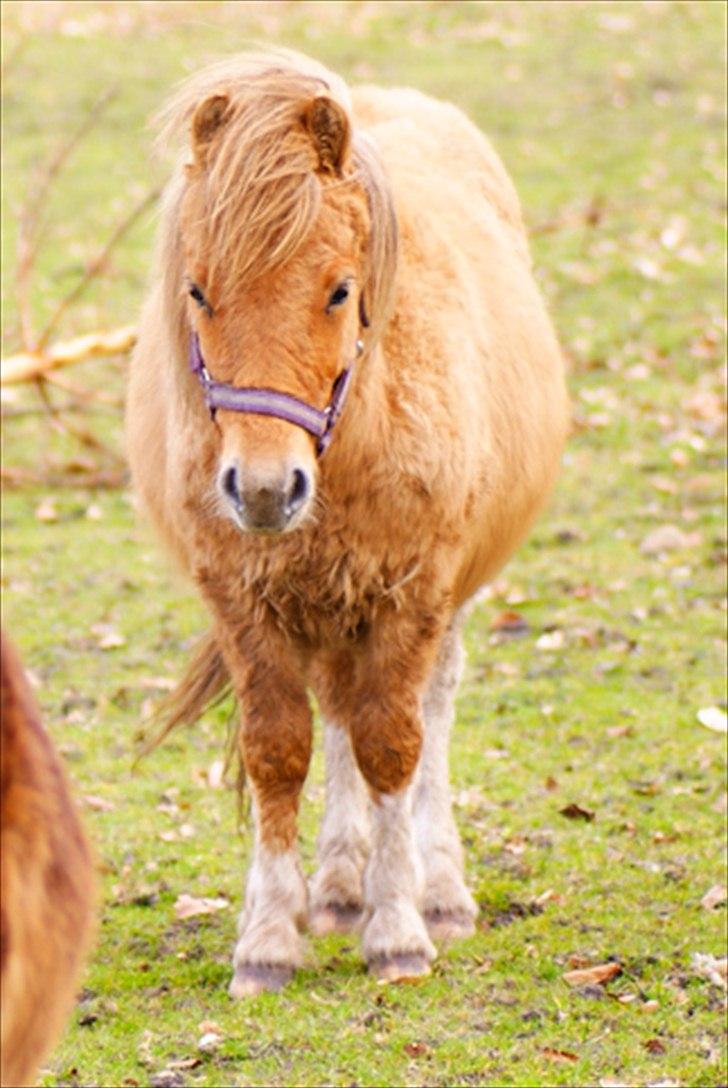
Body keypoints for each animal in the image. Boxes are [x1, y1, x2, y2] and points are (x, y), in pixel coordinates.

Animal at [126, 48, 565, 996]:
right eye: (197, 290)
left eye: (338, 291)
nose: (263, 490)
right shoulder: (243, 600)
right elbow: (280, 749)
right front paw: (268, 937)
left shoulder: (416, 591)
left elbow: (393, 743)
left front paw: (399, 930)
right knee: (333, 714)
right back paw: (332, 888)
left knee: (429, 709)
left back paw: (440, 892)